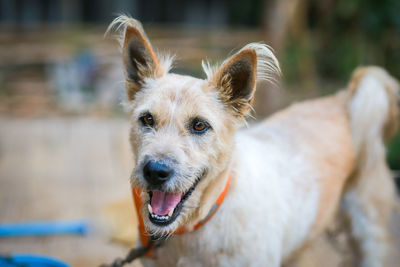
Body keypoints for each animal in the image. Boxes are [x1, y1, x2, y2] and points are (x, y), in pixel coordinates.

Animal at [107, 15, 400, 267]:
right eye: (147, 119)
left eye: (199, 125)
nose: (155, 171)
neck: (198, 225)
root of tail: (343, 98)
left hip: (369, 231)